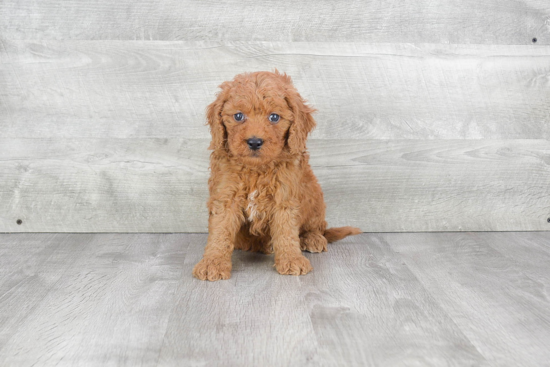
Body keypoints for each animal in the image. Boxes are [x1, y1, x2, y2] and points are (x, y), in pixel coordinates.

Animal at [194, 69, 362, 282]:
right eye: (238, 116)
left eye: (274, 117)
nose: (254, 142)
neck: (256, 169)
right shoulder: (225, 196)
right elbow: (220, 231)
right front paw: (213, 263)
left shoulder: (285, 197)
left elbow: (286, 231)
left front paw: (291, 259)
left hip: (315, 196)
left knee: (317, 226)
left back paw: (312, 238)